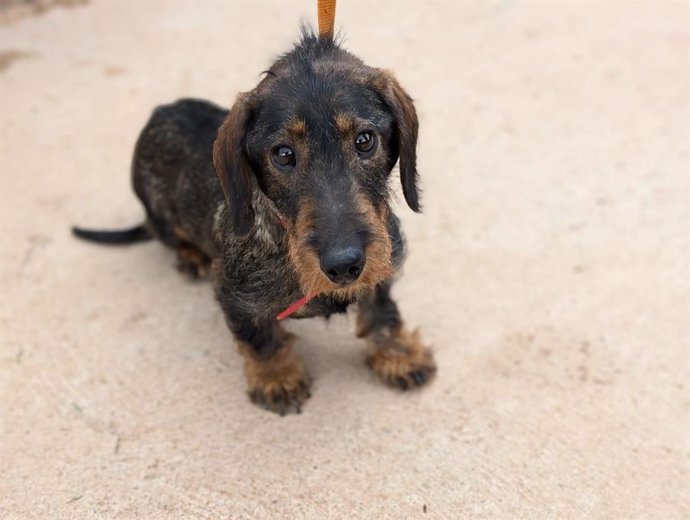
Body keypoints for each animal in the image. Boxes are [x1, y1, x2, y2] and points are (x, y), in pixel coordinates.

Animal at [72, 31, 432, 414]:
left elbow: (382, 314)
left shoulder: (383, 268)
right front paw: (278, 378)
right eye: (283, 154)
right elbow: (261, 340)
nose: (344, 265)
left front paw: (399, 356)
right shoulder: (234, 298)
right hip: (163, 218)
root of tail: (159, 114)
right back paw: (190, 255)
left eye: (365, 140)